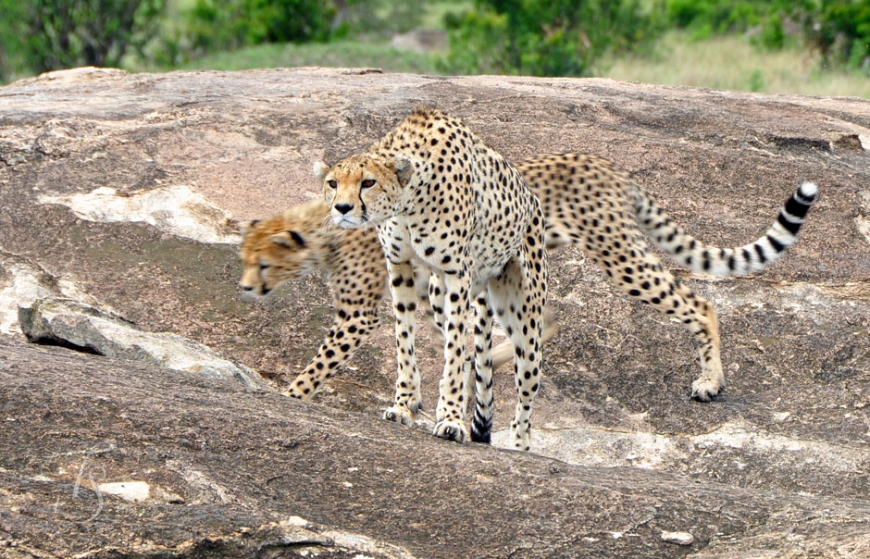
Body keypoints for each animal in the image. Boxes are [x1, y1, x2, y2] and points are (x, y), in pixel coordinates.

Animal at [316, 108, 548, 450]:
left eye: (368, 182)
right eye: (332, 182)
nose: (342, 208)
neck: (409, 201)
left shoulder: (458, 273)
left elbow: (454, 350)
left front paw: (451, 418)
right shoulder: (399, 265)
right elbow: (404, 339)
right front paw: (404, 405)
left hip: (523, 316)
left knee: (526, 384)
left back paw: (520, 444)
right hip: (441, 298)